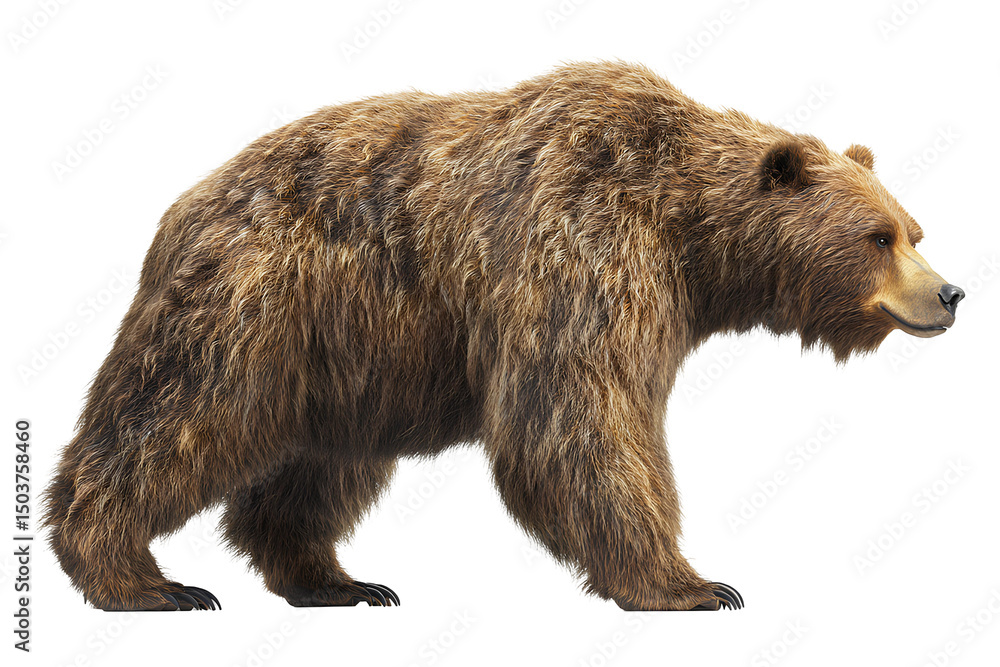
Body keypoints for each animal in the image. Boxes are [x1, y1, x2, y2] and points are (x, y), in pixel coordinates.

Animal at [43, 61, 964, 612]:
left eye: (913, 228)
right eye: (878, 236)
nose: (951, 292)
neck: (691, 239)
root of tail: (184, 203)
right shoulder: (581, 248)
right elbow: (577, 423)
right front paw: (693, 582)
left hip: (353, 359)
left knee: (318, 466)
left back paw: (336, 579)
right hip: (255, 303)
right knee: (176, 415)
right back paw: (140, 577)